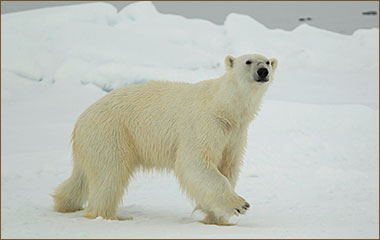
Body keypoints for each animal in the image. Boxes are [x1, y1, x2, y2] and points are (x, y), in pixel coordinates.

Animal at [52, 53, 280, 225]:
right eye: (248, 61)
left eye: (267, 61)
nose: (263, 71)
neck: (225, 107)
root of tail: (80, 121)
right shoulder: (204, 124)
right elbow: (195, 162)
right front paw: (239, 204)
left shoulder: (234, 134)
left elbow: (228, 165)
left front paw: (216, 218)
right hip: (112, 133)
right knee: (110, 174)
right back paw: (111, 216)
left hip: (94, 141)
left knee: (82, 177)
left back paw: (64, 203)